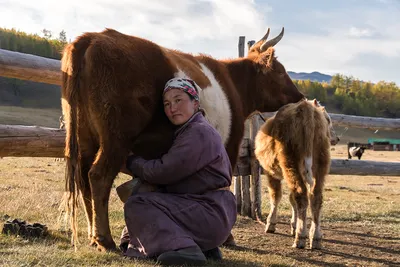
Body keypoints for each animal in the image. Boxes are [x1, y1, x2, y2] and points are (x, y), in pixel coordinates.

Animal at [60, 26, 304, 251]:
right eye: (279, 71)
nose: (300, 96)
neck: (234, 85)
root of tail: (93, 37)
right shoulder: (230, 146)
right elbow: (224, 186)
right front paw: (228, 238)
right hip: (116, 138)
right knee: (99, 176)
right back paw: (105, 239)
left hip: (85, 137)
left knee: (83, 179)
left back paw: (93, 235)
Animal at [255, 99, 336, 251]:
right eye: (328, 119)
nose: (336, 138)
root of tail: (306, 107)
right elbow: (291, 199)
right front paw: (293, 225)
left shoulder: (270, 173)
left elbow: (276, 196)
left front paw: (271, 224)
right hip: (320, 165)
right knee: (315, 197)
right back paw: (315, 237)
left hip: (289, 163)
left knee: (301, 195)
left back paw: (300, 236)